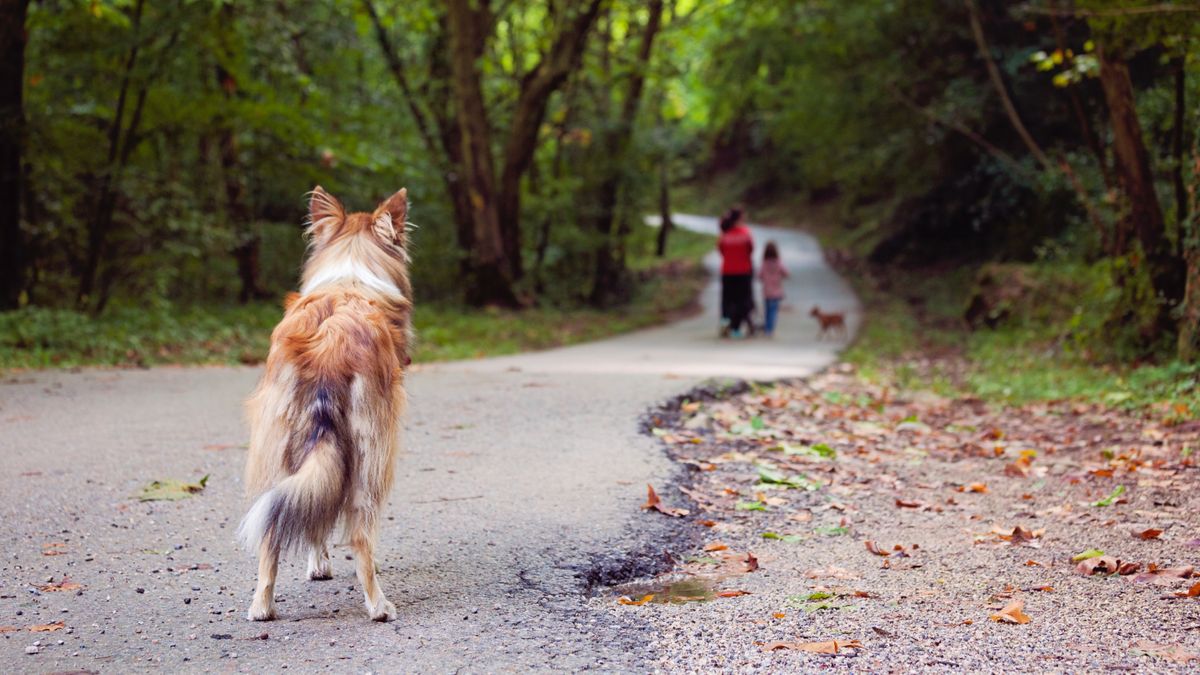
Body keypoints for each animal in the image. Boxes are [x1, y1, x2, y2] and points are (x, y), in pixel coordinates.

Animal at [238, 183, 417, 619]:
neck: (350, 274)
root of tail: (328, 345)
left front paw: (318, 566)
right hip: (374, 450)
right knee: (360, 530)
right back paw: (379, 605)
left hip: (276, 446)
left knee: (273, 524)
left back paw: (262, 607)